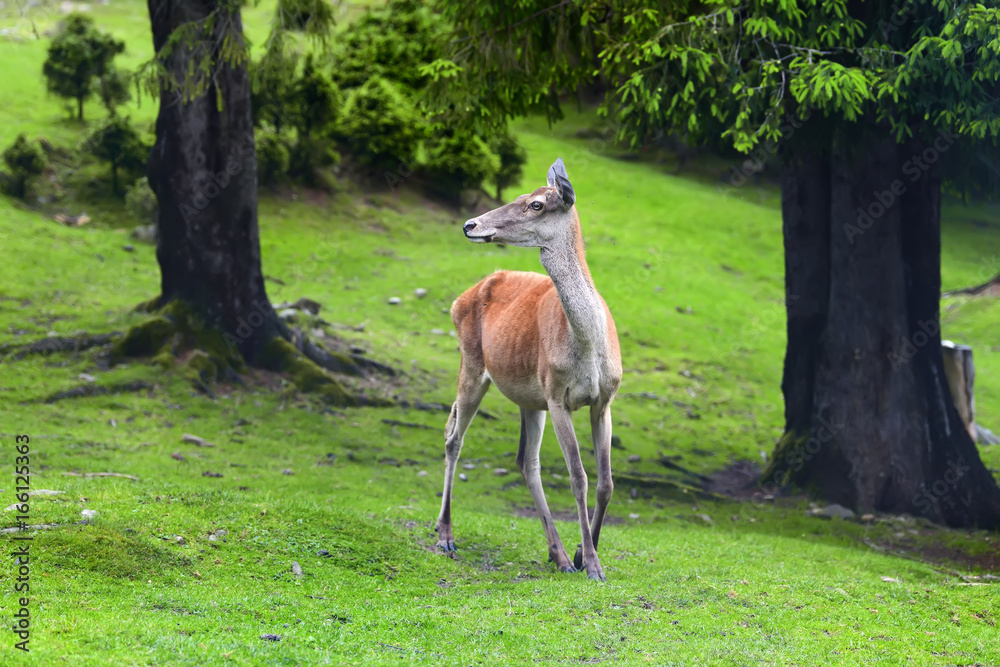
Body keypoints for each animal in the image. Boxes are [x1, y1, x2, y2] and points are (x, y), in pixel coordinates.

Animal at [434, 157, 620, 580]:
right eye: (521, 195)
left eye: (535, 203)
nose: (470, 224)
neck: (590, 350)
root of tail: (458, 299)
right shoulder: (557, 394)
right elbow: (578, 477)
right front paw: (593, 565)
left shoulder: (605, 400)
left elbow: (606, 483)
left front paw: (585, 554)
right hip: (473, 364)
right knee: (454, 436)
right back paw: (445, 535)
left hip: (528, 400)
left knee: (525, 461)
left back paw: (560, 555)